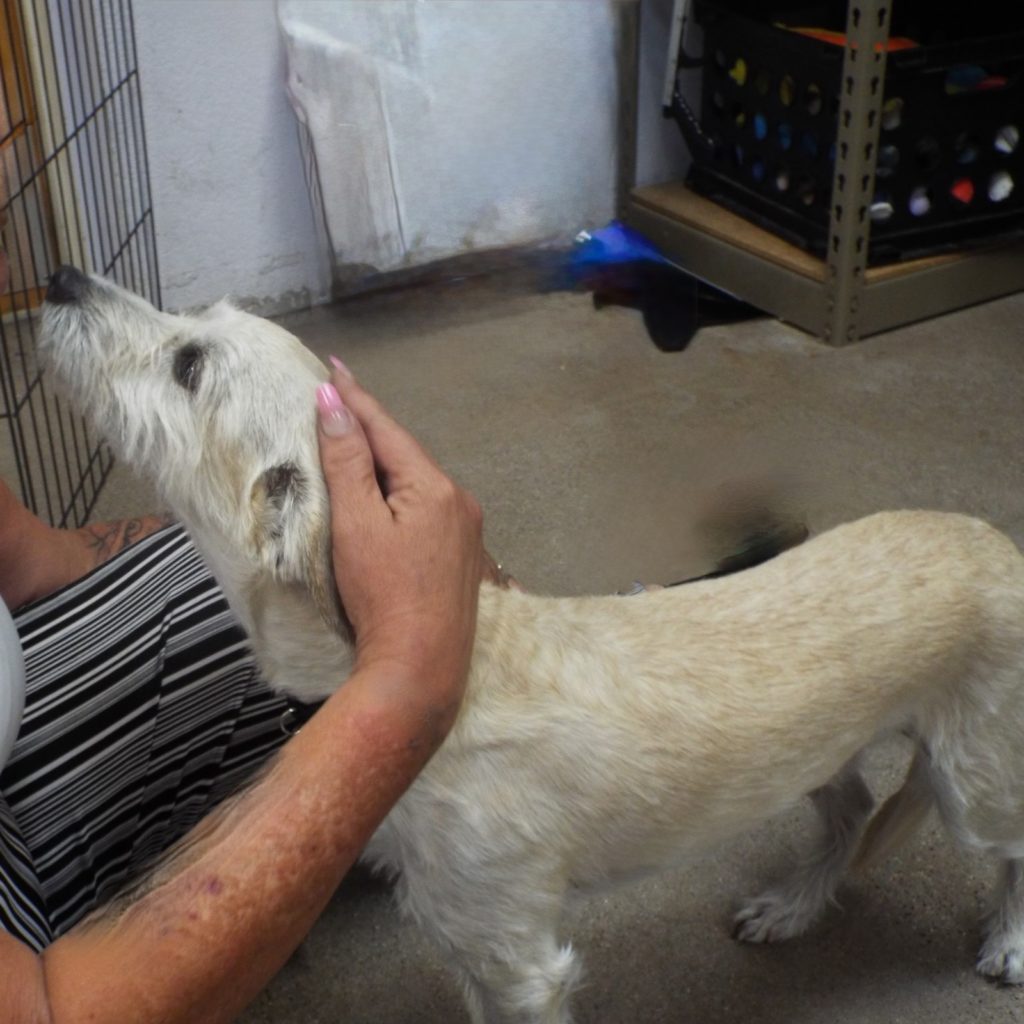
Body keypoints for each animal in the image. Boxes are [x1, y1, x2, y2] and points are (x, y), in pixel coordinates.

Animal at [41, 266, 1024, 1023]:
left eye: (189, 364)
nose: (57, 278)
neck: (455, 677)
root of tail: (1000, 544)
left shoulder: (515, 955)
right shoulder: (469, 940)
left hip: (972, 782)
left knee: (1008, 849)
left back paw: (1007, 942)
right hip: (815, 753)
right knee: (853, 813)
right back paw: (792, 906)